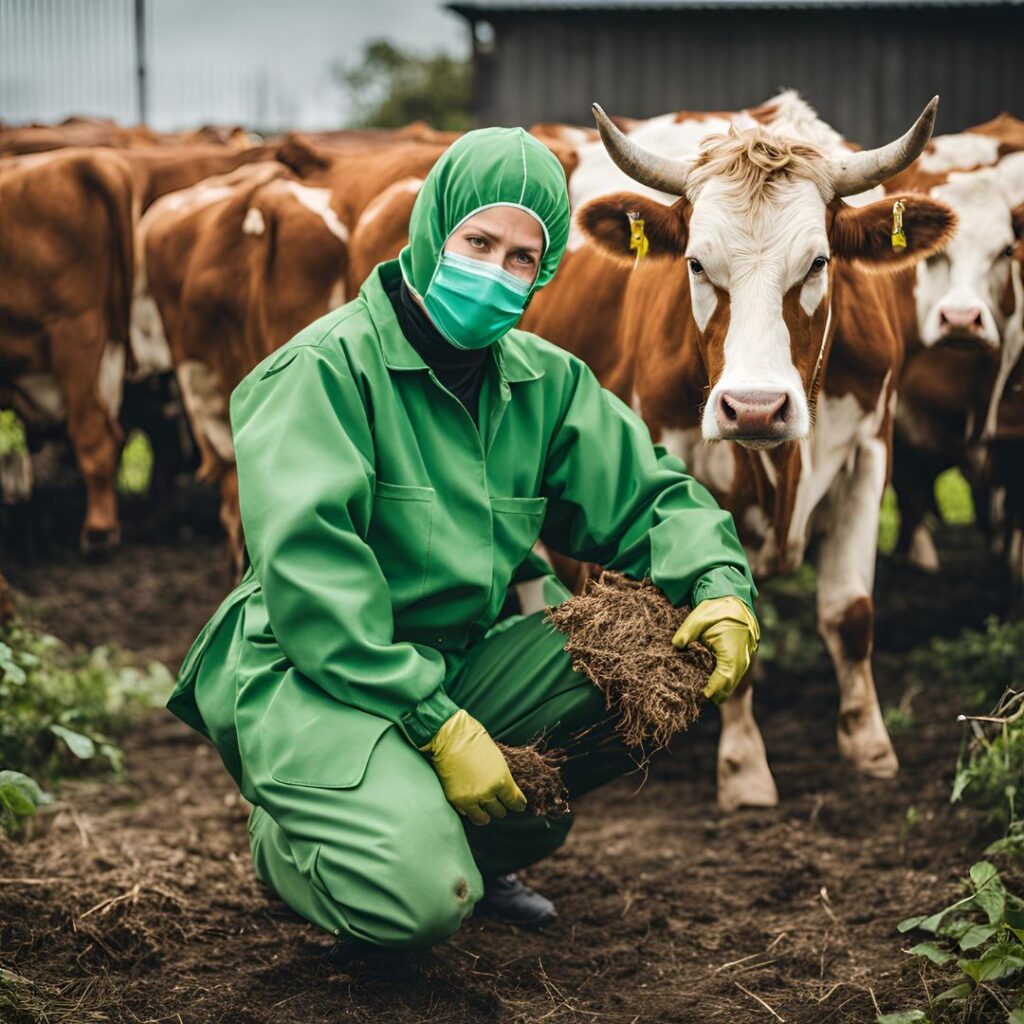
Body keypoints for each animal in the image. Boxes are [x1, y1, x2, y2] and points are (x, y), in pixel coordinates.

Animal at [548, 92, 954, 806]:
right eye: (695, 263)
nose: (757, 407)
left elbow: (851, 613)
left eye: (819, 262)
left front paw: (869, 745)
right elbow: (720, 611)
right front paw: (743, 769)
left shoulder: (870, 452)